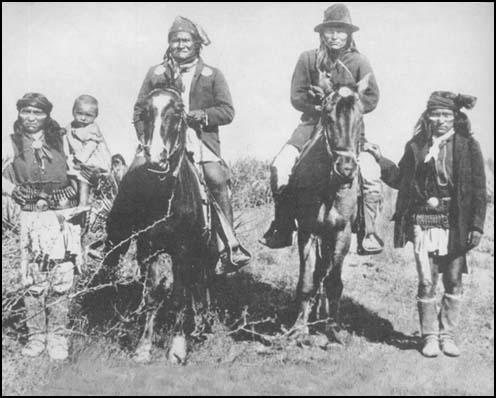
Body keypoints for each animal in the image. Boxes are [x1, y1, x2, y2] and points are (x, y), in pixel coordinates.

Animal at [102, 88, 217, 362]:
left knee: (202, 282)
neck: (165, 197)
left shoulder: (183, 250)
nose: (156, 157)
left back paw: (202, 325)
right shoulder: (148, 249)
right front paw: (143, 346)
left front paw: (177, 347)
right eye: (144, 114)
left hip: (203, 250)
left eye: (176, 114)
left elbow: (179, 296)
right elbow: (153, 295)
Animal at [288, 75, 370, 342]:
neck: (328, 187)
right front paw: (298, 329)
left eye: (361, 116)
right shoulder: (307, 231)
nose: (345, 169)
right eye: (327, 115)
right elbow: (306, 280)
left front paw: (332, 329)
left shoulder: (341, 233)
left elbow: (334, 281)